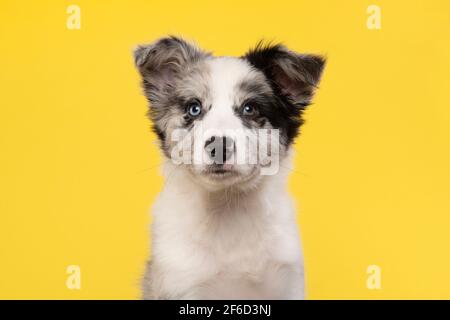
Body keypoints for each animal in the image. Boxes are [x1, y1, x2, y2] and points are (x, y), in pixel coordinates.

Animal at [132, 37, 326, 300]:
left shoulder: (287, 281)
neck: (228, 209)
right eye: (194, 108)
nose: (219, 146)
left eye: (250, 108)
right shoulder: (181, 284)